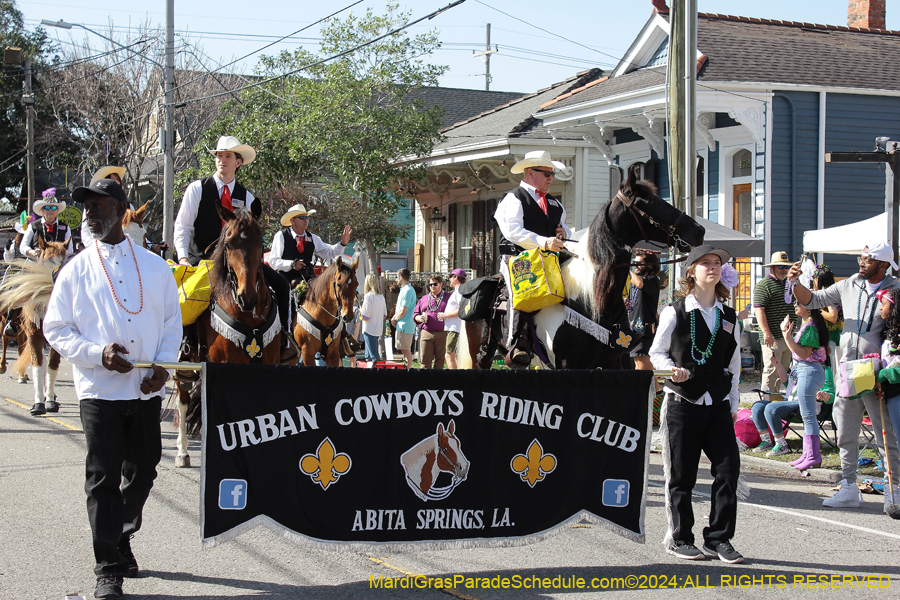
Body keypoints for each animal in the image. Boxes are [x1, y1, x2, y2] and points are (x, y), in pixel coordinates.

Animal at [0, 237, 69, 414]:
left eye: (66, 260)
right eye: (49, 259)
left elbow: (51, 367)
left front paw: (50, 400)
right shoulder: (34, 335)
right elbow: (38, 366)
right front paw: (38, 404)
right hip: (8, 325)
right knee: (5, 341)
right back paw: (5, 367)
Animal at [172, 199, 278, 466]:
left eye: (261, 243)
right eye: (228, 243)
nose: (246, 296)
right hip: (183, 366)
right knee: (183, 401)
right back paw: (182, 452)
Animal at [460, 165, 708, 370]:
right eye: (651, 202)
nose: (699, 231)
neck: (593, 301)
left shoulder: (613, 363)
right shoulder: (567, 364)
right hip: (481, 355)